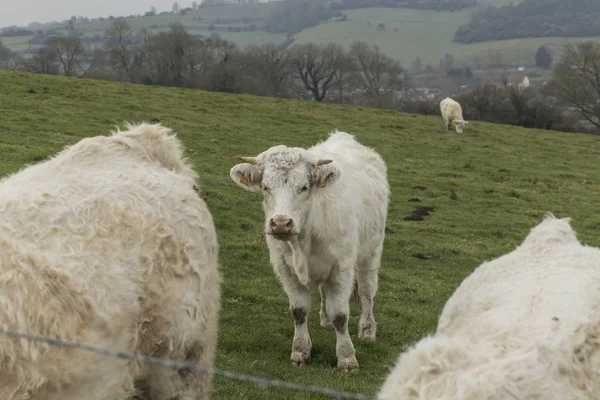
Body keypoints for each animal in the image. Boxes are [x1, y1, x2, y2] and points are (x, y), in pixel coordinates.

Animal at [229, 132, 390, 372]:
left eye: (304, 187)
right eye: (266, 187)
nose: (281, 223)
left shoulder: (342, 268)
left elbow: (341, 314)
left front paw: (347, 358)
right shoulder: (286, 269)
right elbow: (299, 311)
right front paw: (300, 351)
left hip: (371, 251)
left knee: (367, 292)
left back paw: (367, 330)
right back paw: (325, 320)